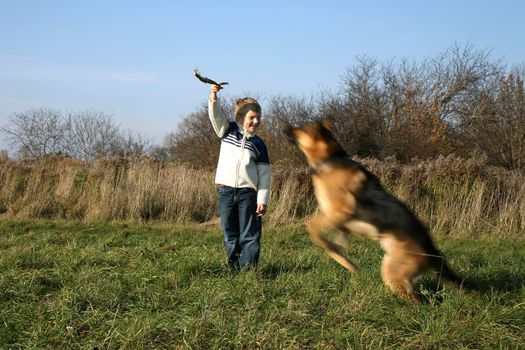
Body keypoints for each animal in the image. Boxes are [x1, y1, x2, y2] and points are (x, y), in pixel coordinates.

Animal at [286, 119, 462, 300]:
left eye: (301, 128)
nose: (286, 127)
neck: (330, 160)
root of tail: (430, 248)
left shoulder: (339, 211)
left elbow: (312, 227)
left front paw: (340, 256)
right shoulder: (339, 221)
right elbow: (335, 244)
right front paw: (345, 260)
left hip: (392, 270)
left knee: (414, 299)